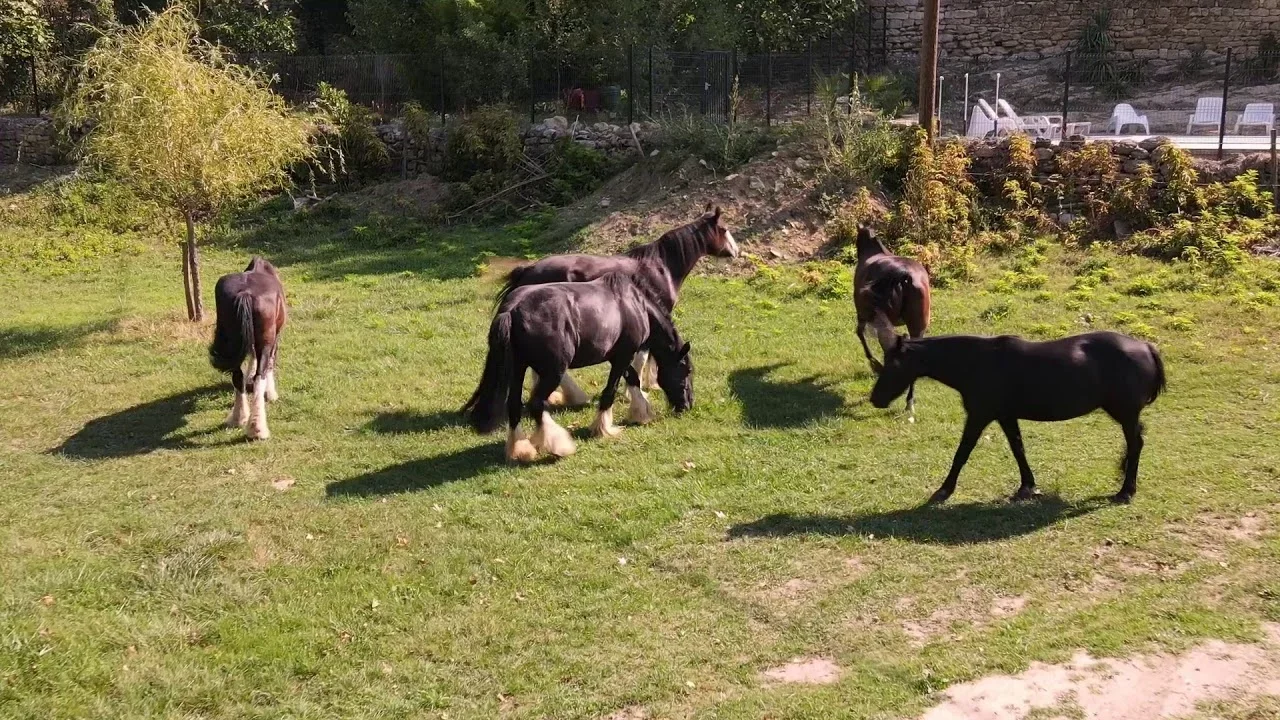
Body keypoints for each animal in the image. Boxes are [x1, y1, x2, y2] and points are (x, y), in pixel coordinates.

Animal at [208, 257, 287, 440]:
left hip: (232, 341)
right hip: (266, 340)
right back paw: (257, 429)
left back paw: (238, 418)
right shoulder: (275, 339)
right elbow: (270, 362)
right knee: (260, 376)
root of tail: (245, 292)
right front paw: (271, 393)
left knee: (237, 376)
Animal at [464, 272, 694, 463]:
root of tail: (511, 311)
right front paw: (603, 428)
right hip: (552, 372)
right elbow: (610, 391)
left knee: (514, 405)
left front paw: (642, 412)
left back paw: (520, 449)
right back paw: (560, 446)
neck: (636, 305)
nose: (688, 404)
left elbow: (633, 379)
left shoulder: (618, 356)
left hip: (519, 368)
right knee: (536, 404)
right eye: (687, 371)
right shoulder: (622, 356)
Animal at [494, 205, 737, 407]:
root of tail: (528, 269)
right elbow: (643, 357)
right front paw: (637, 391)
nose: (735, 251)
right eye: (724, 229)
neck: (661, 267)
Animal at [853, 225, 931, 420]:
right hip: (918, 326)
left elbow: (860, 334)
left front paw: (875, 365)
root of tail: (904, 275)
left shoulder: (863, 315)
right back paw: (909, 402)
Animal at [869, 329, 1165, 505]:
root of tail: (1146, 347)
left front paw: (943, 491)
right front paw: (1027, 487)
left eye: (893, 364)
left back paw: (1125, 491)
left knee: (1136, 444)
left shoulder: (979, 415)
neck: (977, 363)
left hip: (1125, 413)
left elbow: (962, 452)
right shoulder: (1005, 416)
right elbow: (1018, 449)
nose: (875, 399)